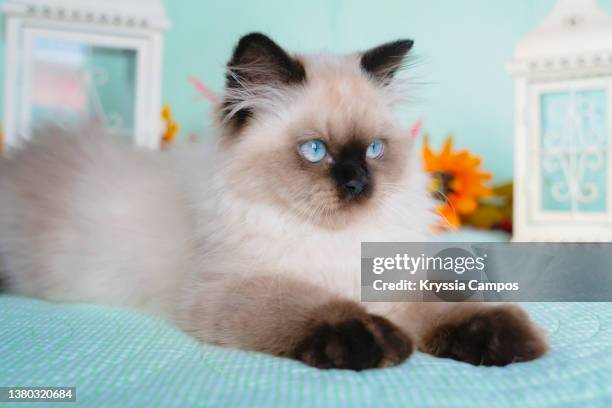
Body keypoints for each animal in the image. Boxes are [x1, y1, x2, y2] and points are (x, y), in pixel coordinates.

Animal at [0, 32, 544, 370]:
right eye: (315, 151)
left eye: (373, 150)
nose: (357, 185)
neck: (331, 244)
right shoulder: (232, 288)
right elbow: (312, 306)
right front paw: (379, 342)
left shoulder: (387, 278)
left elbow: (445, 306)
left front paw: (508, 341)